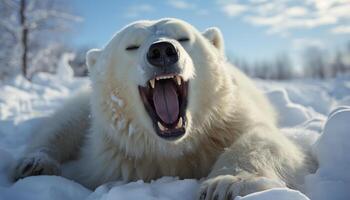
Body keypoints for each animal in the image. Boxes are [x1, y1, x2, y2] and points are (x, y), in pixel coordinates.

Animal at [12, 18, 316, 198]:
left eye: (183, 38)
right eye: (132, 46)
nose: (161, 51)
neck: (170, 148)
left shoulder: (228, 121)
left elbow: (265, 139)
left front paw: (225, 183)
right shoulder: (111, 161)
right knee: (64, 122)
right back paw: (34, 163)